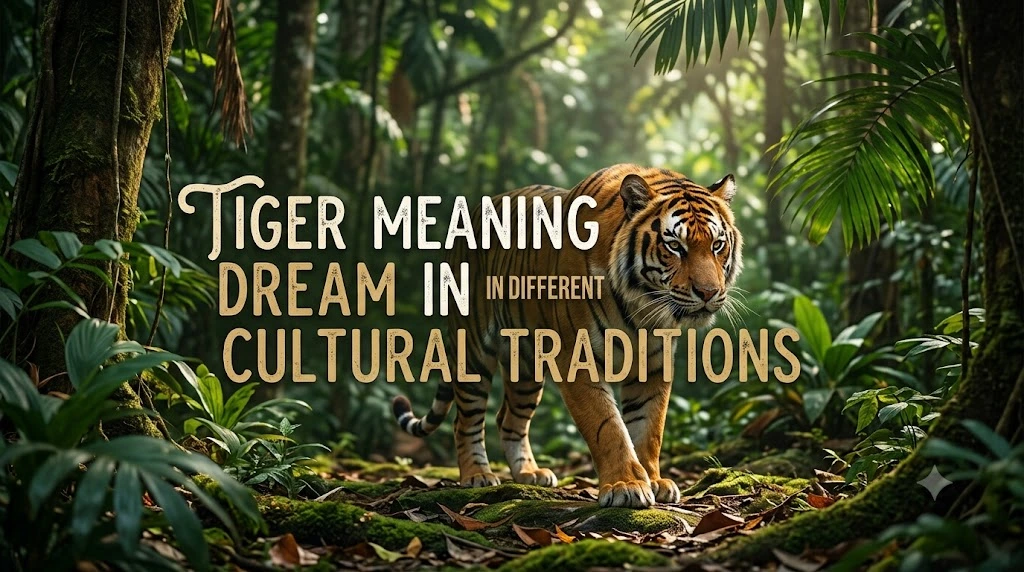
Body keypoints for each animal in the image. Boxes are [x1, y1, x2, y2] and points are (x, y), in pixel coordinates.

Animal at [392, 164, 742, 508]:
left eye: (717, 245)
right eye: (675, 246)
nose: (709, 293)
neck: (641, 304)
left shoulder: (653, 362)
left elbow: (648, 427)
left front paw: (654, 481)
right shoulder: (577, 357)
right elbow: (608, 427)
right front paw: (626, 485)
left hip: (526, 366)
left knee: (509, 419)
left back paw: (529, 474)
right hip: (473, 349)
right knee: (465, 420)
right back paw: (477, 475)